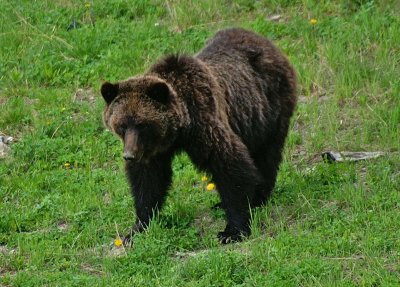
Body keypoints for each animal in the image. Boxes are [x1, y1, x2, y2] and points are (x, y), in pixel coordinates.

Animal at [101, 27, 296, 245]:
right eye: (121, 125)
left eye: (142, 124)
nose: (129, 155)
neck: (178, 131)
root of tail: (267, 42)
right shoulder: (152, 151)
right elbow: (148, 181)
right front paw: (137, 228)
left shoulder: (204, 122)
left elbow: (230, 166)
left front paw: (232, 231)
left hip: (269, 109)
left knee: (266, 154)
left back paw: (259, 196)